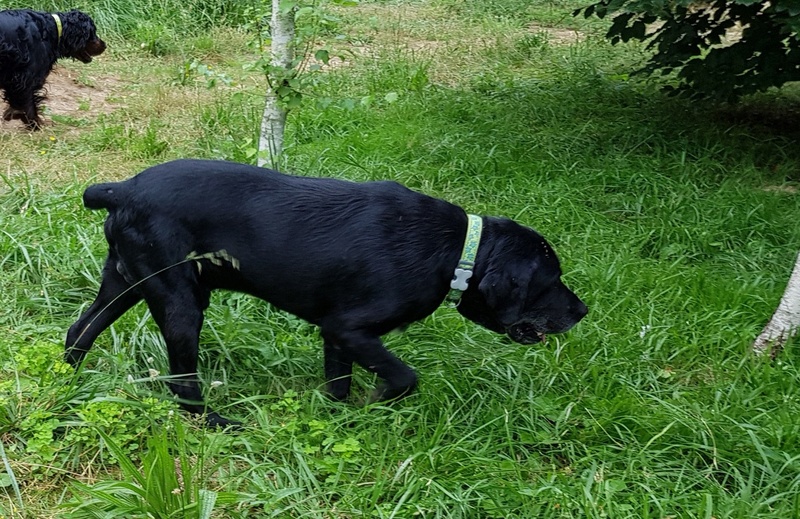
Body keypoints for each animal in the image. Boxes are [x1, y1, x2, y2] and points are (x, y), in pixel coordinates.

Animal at [65, 159, 584, 426]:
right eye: (550, 280)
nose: (582, 310)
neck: (458, 249)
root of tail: (122, 188)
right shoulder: (351, 330)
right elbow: (404, 378)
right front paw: (375, 404)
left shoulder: (335, 336)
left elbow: (338, 386)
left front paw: (338, 418)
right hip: (180, 303)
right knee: (181, 383)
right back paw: (216, 421)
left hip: (125, 283)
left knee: (78, 331)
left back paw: (68, 381)